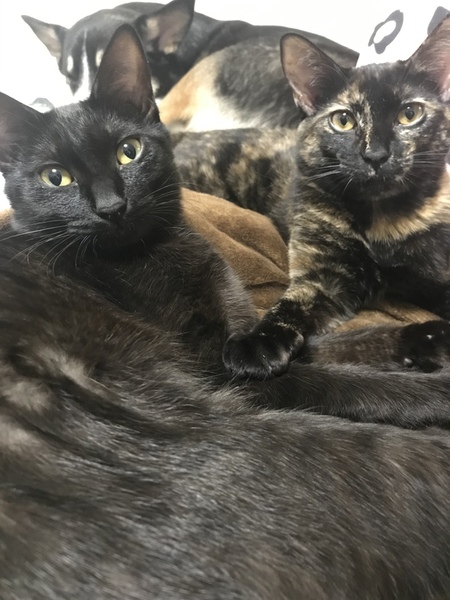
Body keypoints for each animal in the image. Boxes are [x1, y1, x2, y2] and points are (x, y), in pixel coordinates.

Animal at [223, 14, 450, 380]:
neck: (380, 221)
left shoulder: (435, 274)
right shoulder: (323, 277)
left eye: (409, 114)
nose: (376, 154)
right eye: (343, 120)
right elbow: (290, 306)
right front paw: (256, 342)